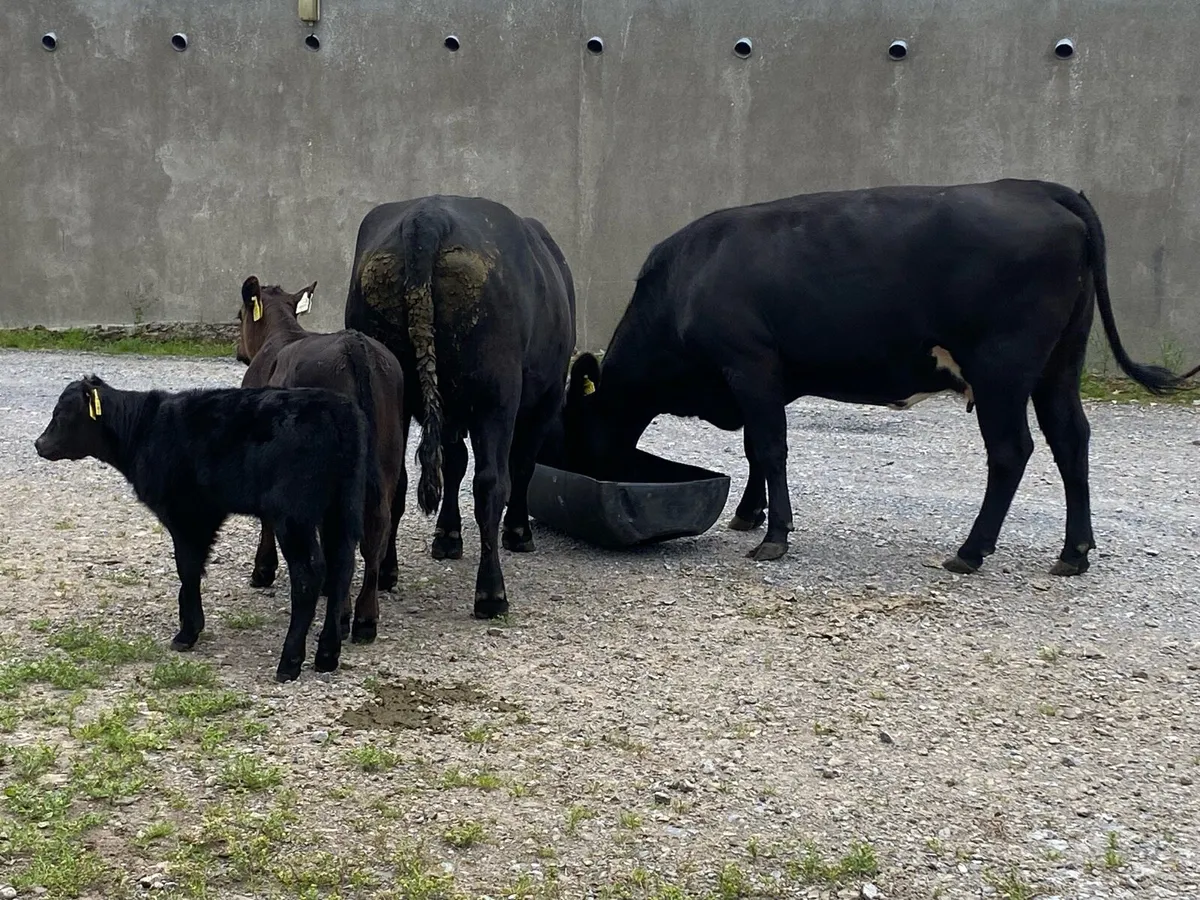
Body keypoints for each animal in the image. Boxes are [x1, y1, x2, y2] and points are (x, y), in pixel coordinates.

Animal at [33, 375, 368, 682]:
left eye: (61, 413)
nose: (39, 444)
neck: (144, 430)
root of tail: (335, 408)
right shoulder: (207, 513)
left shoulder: (187, 513)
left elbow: (188, 568)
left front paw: (187, 632)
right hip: (343, 508)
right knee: (341, 568)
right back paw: (327, 655)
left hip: (293, 515)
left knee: (309, 575)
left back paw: (290, 662)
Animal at [236, 275, 407, 645]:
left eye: (238, 315)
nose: (238, 351)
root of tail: (355, 345)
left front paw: (263, 569)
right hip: (387, 458)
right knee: (377, 527)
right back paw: (365, 618)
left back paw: (341, 617)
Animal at [343, 194, 576, 619]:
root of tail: (428, 217)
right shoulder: (544, 400)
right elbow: (521, 466)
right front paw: (518, 532)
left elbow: (453, 463)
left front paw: (447, 535)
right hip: (496, 395)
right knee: (491, 482)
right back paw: (491, 593)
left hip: (393, 390)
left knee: (395, 479)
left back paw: (386, 571)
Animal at [560, 179, 1200, 577]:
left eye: (568, 424)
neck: (685, 282)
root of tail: (1033, 187)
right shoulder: (761, 378)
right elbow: (754, 448)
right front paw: (749, 515)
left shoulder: (750, 363)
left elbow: (768, 447)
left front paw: (774, 537)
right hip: (1058, 364)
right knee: (1071, 439)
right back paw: (1074, 551)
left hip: (1003, 368)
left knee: (1012, 451)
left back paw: (971, 551)